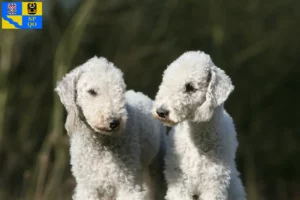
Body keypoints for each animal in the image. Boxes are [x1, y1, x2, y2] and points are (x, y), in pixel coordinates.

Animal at [54, 56, 165, 200]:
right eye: (92, 91)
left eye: (120, 90)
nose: (114, 122)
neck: (101, 143)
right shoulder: (88, 187)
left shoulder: (127, 184)